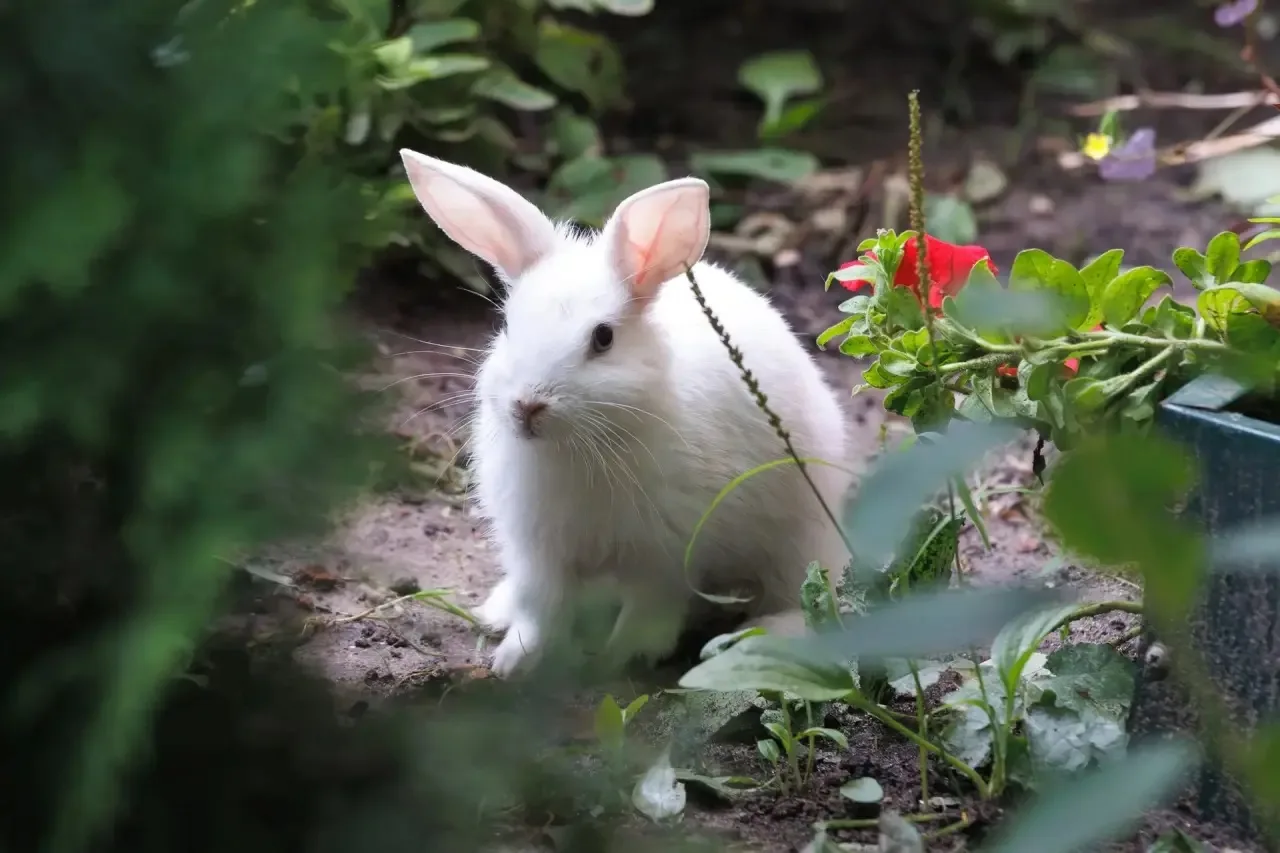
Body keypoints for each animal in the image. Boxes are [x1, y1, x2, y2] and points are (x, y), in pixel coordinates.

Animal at [399, 148, 854, 677]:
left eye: (603, 338)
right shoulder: (538, 551)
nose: (528, 406)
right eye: (508, 327)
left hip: (800, 538)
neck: (580, 447)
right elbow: (541, 609)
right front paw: (514, 663)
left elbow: (648, 612)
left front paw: (620, 660)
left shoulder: (666, 556)